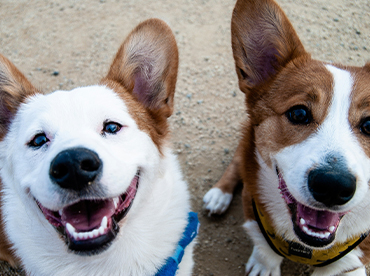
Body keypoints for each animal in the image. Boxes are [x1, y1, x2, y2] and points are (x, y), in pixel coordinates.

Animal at [204, 0, 370, 276]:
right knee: (237, 162)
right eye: (299, 113)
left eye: (369, 124)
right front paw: (264, 265)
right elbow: (265, 247)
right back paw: (219, 195)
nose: (333, 186)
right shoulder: (254, 207)